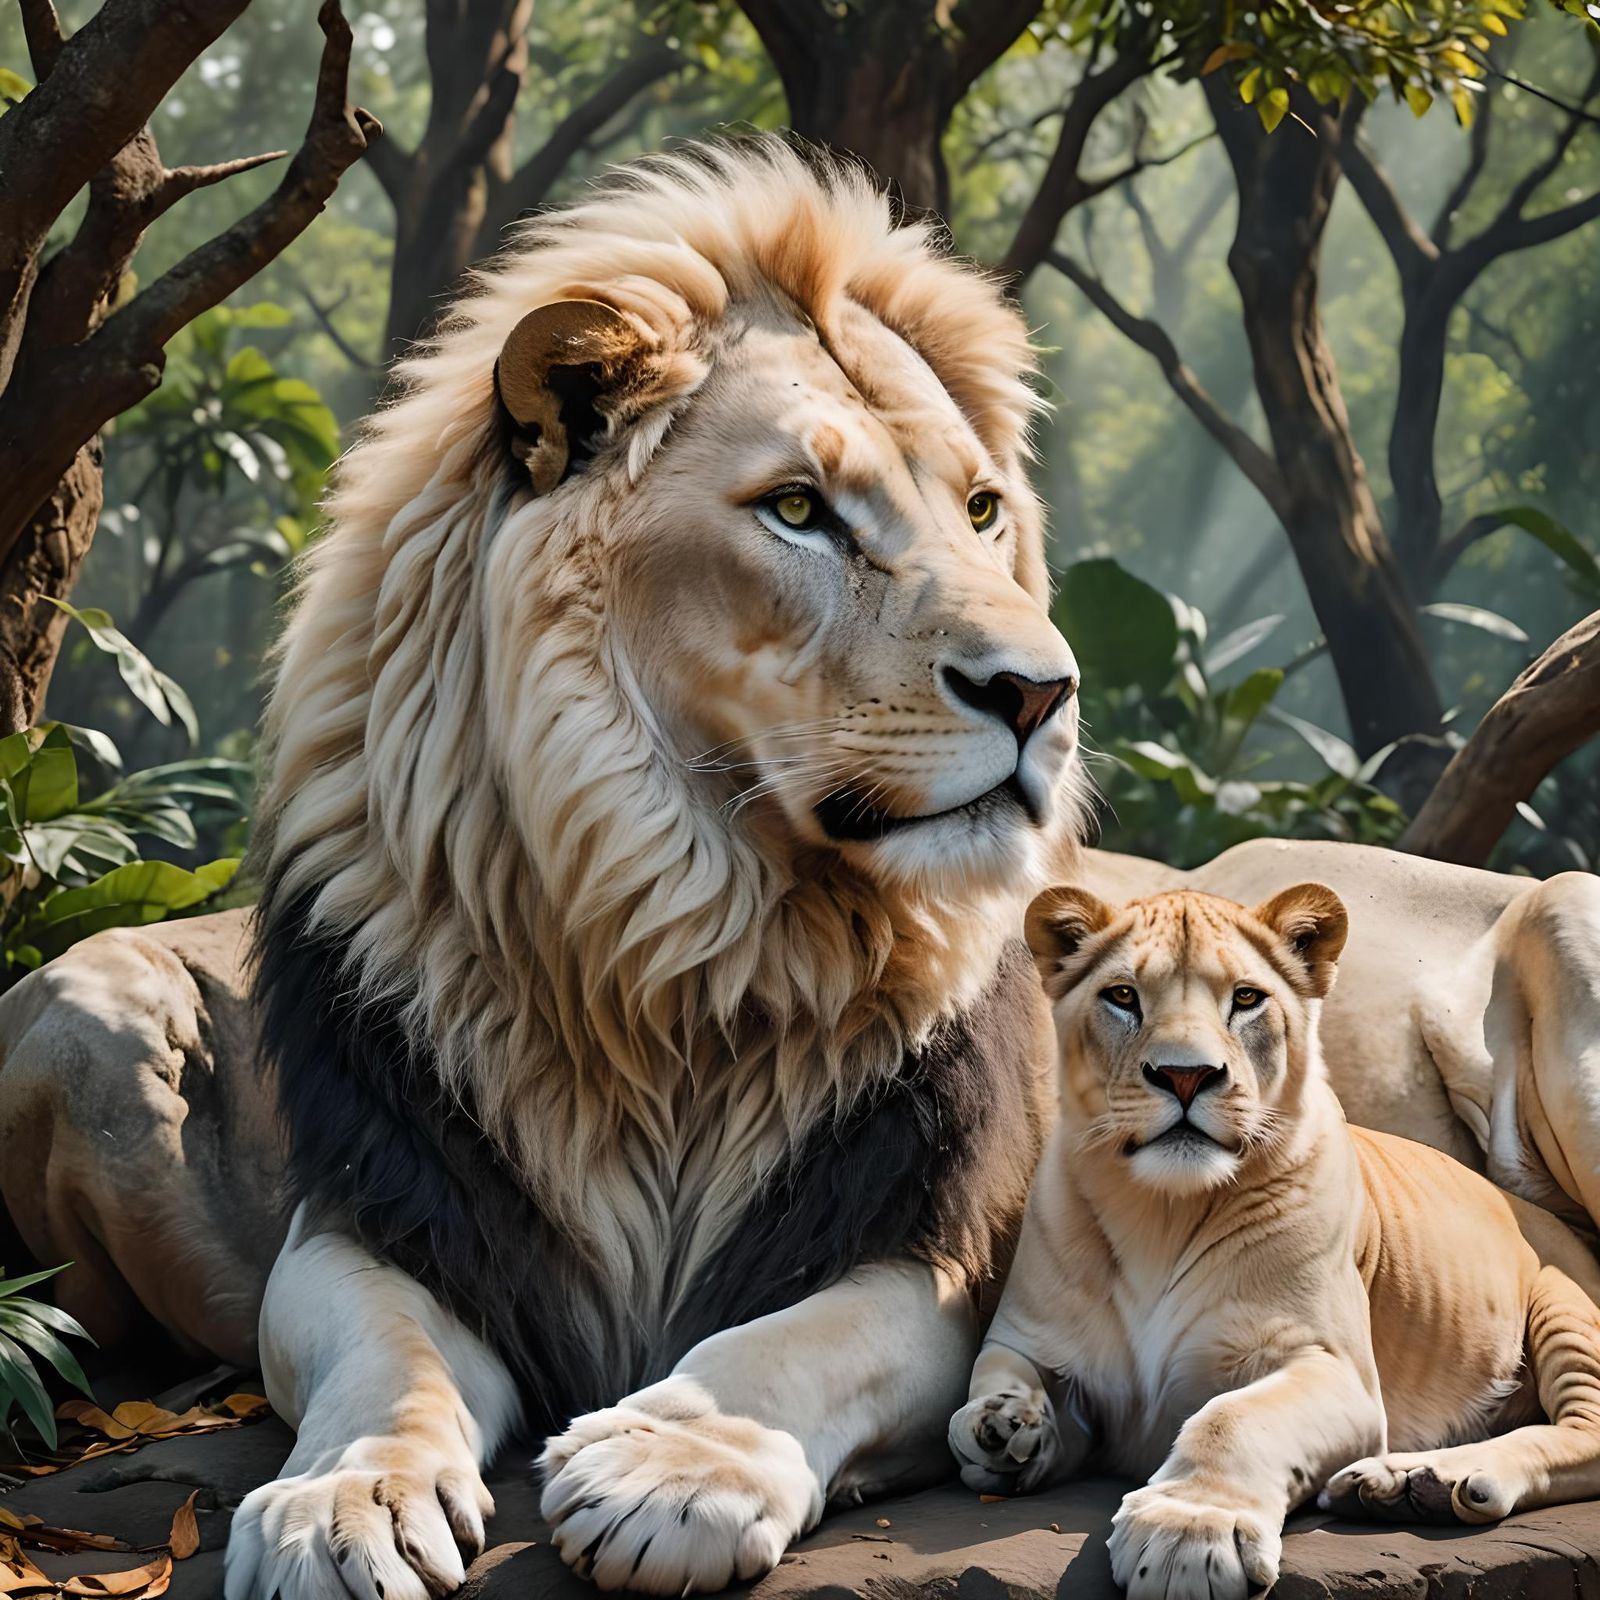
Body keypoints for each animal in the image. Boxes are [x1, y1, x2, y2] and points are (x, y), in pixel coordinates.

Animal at [951, 883, 1600, 1600]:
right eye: (1122, 996)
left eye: (1245, 998)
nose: (1184, 1076)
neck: (1159, 1213)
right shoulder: (1024, 1339)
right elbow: (982, 1394)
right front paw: (1003, 1430)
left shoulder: (1335, 1369)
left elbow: (1232, 1419)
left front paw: (1188, 1536)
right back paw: (1394, 1486)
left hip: (1563, 1299)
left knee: (1586, 1432)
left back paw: (1433, 1481)